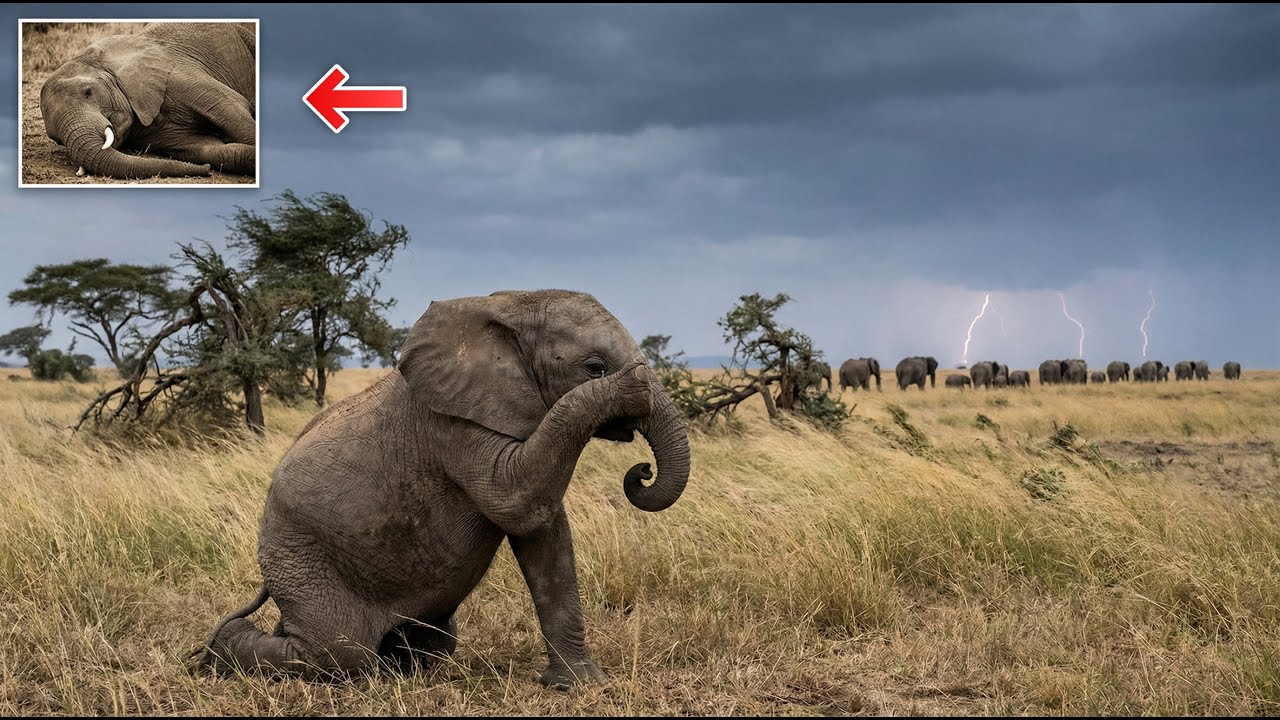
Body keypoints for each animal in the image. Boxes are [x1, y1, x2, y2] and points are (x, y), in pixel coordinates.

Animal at [39, 22, 256, 179]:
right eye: (57, 140)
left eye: (88, 92)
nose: (206, 170)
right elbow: (209, 149)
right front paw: (210, 162)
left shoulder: (177, 73)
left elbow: (233, 110)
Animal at [191, 291, 691, 687]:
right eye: (594, 368)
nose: (641, 471)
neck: (509, 305)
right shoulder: (451, 426)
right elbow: (517, 499)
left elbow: (543, 532)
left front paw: (579, 685)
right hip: (301, 559)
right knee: (339, 653)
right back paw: (215, 654)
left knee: (431, 640)